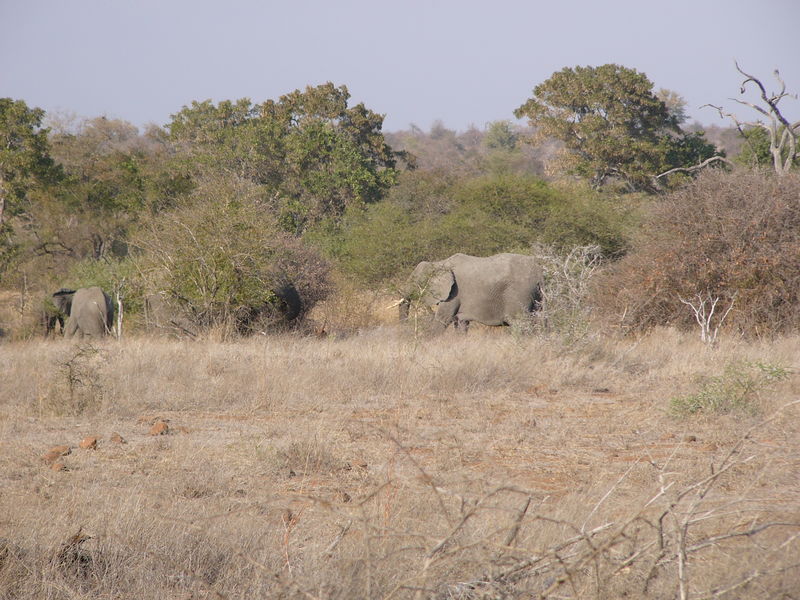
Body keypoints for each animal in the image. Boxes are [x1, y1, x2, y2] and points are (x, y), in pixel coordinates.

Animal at [400, 251, 544, 330]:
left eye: (415, 281)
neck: (439, 263)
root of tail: (539, 272)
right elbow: (461, 324)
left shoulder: (453, 293)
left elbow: (442, 320)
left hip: (519, 293)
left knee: (520, 323)